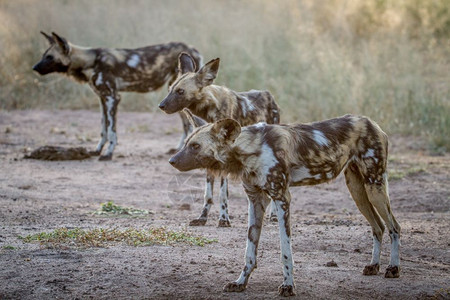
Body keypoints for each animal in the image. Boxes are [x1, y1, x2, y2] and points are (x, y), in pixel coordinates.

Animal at [31, 31, 200, 161]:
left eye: (50, 57)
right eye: (43, 55)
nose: (34, 68)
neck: (91, 61)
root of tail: (192, 48)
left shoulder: (112, 98)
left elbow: (112, 130)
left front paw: (108, 153)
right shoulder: (102, 99)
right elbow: (103, 129)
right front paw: (97, 150)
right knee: (186, 123)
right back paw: (178, 148)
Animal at [159, 54, 282, 226]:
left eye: (180, 91)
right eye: (170, 89)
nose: (161, 105)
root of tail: (268, 94)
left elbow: (223, 194)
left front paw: (224, 218)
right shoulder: (207, 157)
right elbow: (208, 194)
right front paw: (202, 217)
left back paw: (274, 215)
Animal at [169, 114, 400, 296]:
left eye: (195, 146)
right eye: (186, 142)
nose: (172, 161)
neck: (249, 149)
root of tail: (372, 123)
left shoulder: (282, 199)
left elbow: (285, 250)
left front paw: (288, 286)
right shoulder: (255, 201)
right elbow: (249, 250)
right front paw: (241, 282)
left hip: (375, 187)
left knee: (394, 227)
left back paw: (393, 268)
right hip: (358, 190)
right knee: (378, 226)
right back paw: (374, 266)